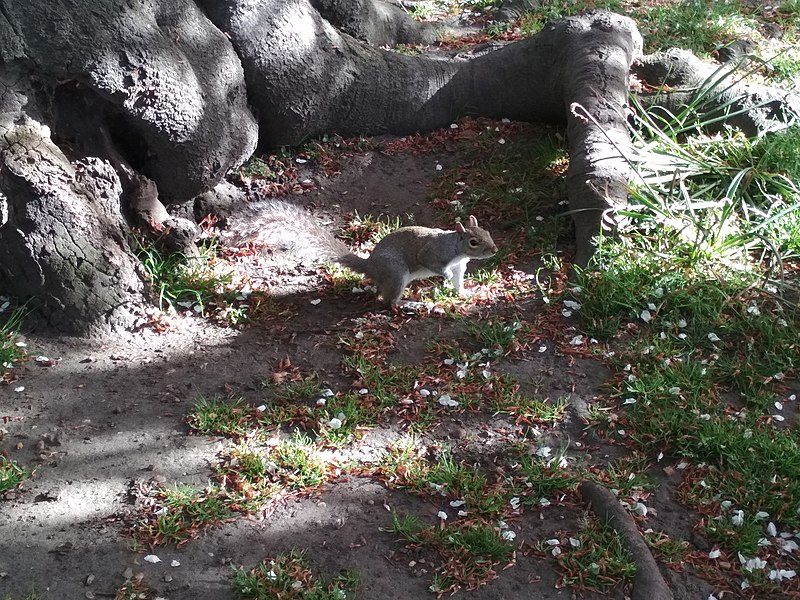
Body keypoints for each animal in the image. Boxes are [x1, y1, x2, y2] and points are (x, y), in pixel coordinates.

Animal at [222, 199, 496, 304]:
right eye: (473, 241)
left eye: (488, 232)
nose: (494, 250)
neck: (457, 250)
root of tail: (370, 267)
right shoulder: (433, 254)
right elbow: (432, 263)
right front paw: (445, 278)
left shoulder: (460, 266)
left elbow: (459, 281)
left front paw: (464, 293)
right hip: (396, 274)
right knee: (387, 302)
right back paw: (407, 303)